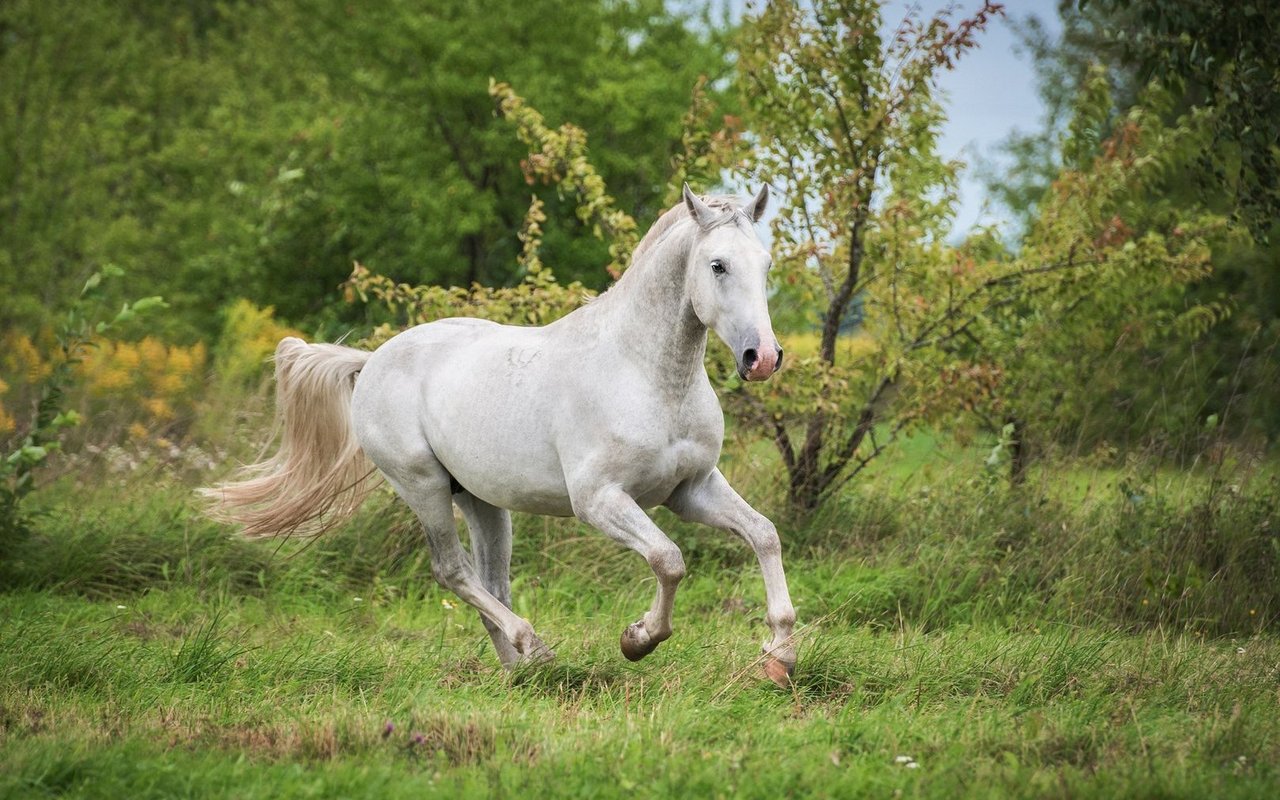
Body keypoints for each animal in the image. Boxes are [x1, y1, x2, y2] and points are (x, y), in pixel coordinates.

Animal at [202, 185, 797, 684]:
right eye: (717, 265)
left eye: (766, 263)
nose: (763, 358)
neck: (645, 373)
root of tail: (372, 361)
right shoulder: (599, 501)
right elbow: (668, 560)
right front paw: (638, 640)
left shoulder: (691, 489)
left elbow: (764, 534)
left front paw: (779, 655)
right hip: (422, 487)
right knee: (453, 572)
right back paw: (534, 649)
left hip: (483, 501)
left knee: (492, 580)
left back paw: (520, 671)